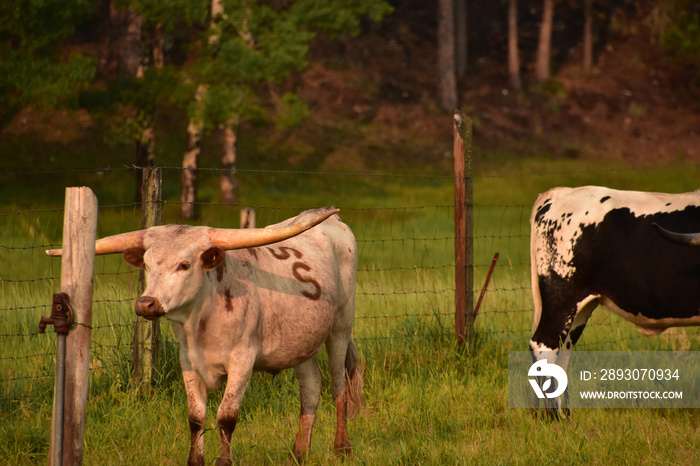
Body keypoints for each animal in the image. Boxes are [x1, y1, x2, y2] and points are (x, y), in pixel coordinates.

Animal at [46, 208, 360, 466]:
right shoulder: (188, 360)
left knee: (338, 386)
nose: (146, 304)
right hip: (301, 342)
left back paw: (342, 448)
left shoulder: (243, 359)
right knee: (312, 386)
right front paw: (195, 460)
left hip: (340, 328)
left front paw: (223, 461)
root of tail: (334, 223)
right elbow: (196, 417)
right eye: (147, 265)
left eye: (184, 265)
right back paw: (300, 453)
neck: (201, 320)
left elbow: (226, 416)